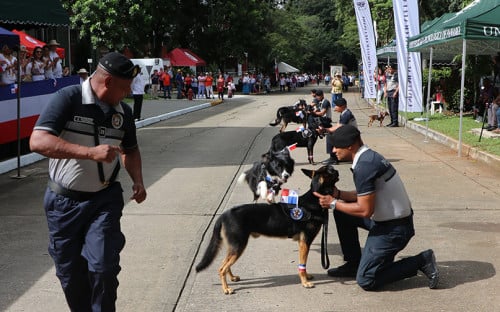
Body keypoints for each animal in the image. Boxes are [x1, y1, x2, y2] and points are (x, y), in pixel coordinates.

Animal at [195, 166, 340, 294]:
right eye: (331, 170)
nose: (337, 170)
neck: (315, 197)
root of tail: (224, 215)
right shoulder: (305, 242)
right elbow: (302, 265)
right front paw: (305, 282)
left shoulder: (302, 243)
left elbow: (303, 264)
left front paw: (307, 277)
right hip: (239, 246)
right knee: (221, 268)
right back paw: (226, 289)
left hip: (234, 246)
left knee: (225, 264)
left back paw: (232, 278)